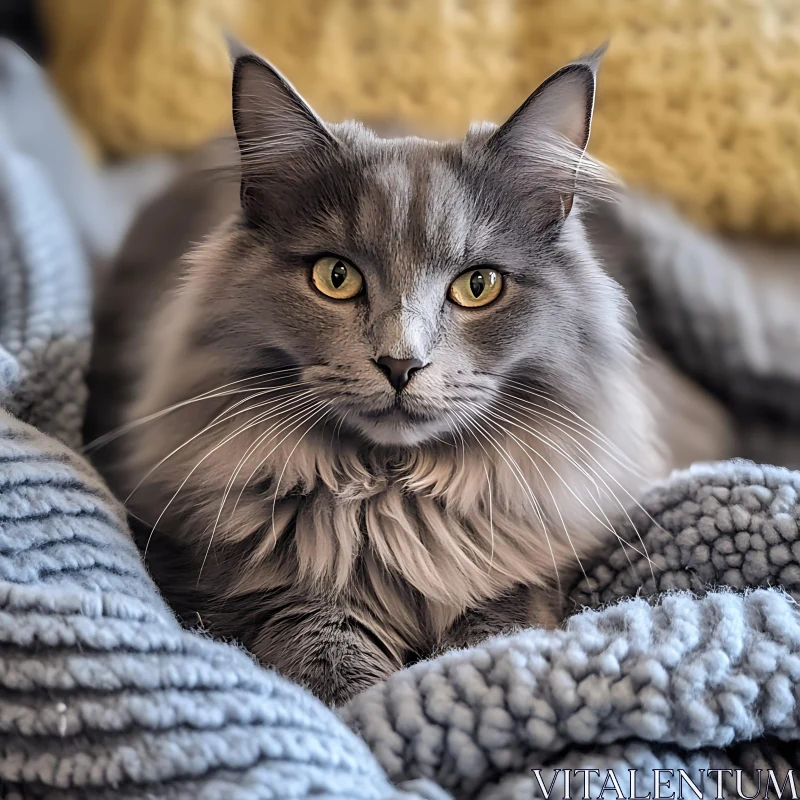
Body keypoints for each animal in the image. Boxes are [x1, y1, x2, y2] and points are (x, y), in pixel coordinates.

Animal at [86, 47, 732, 704]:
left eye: (479, 285)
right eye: (336, 277)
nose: (401, 363)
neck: (396, 501)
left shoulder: (521, 569)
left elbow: (501, 630)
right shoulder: (253, 590)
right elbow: (329, 659)